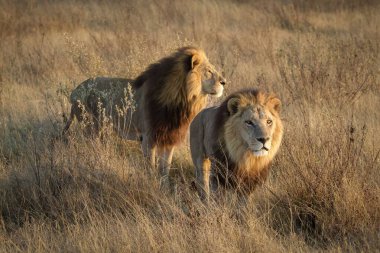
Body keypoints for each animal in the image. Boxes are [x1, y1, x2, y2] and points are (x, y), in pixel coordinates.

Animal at [63, 47, 227, 182]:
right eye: (209, 71)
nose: (224, 82)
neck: (181, 99)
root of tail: (74, 91)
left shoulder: (169, 138)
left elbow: (165, 169)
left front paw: (164, 189)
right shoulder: (148, 138)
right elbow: (151, 168)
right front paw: (152, 184)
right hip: (91, 127)